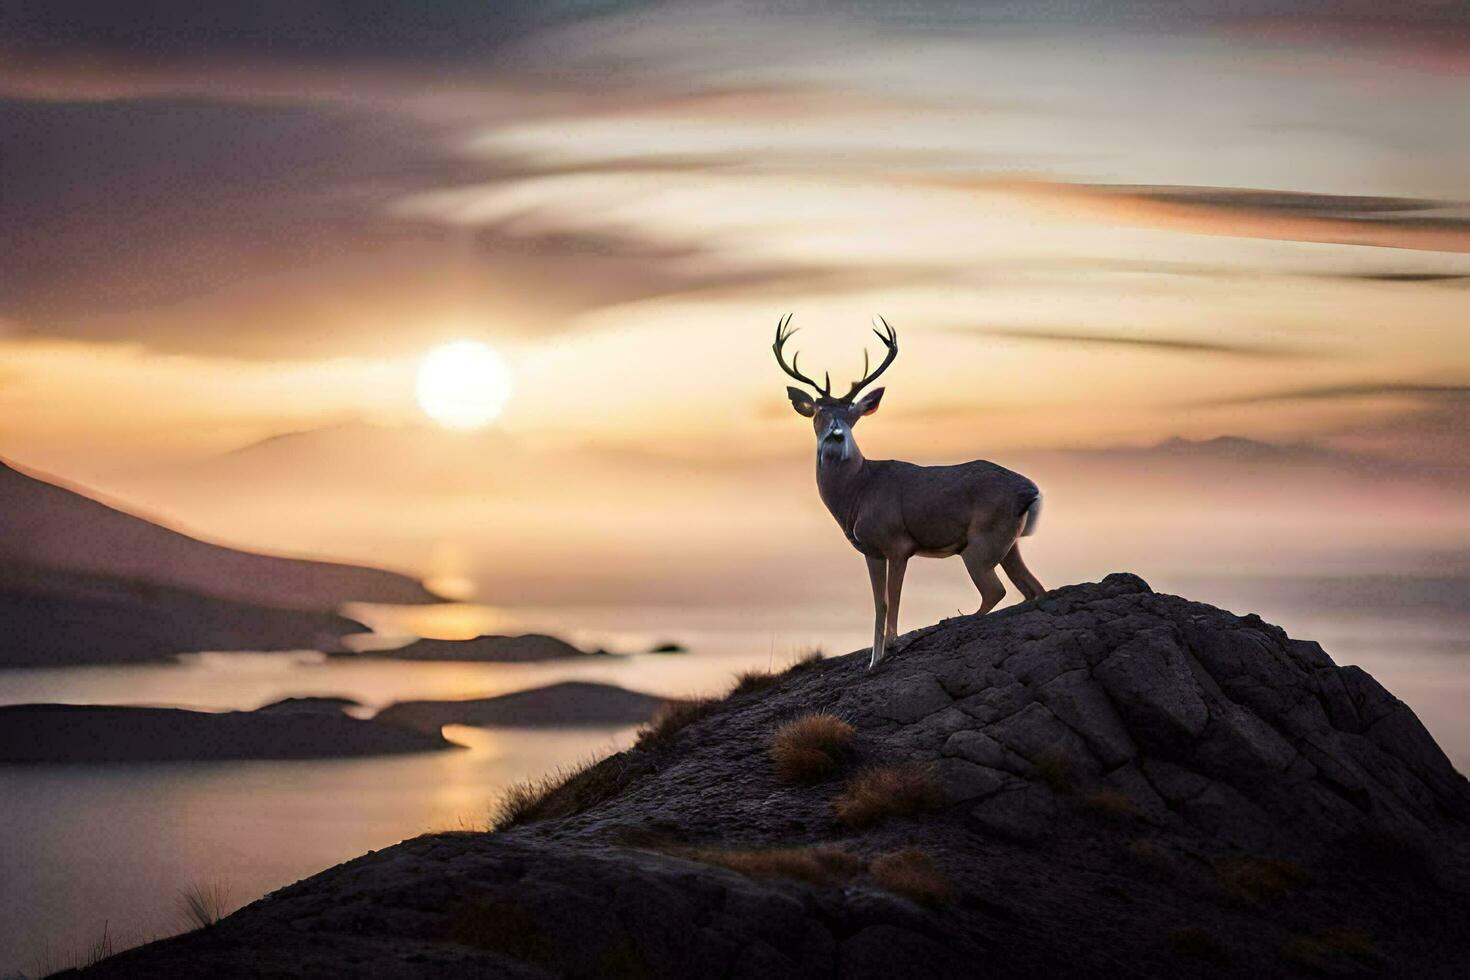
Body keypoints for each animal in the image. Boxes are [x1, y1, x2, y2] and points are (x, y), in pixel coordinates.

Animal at [770, 318, 1046, 669]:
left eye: (853, 415)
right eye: (819, 413)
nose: (836, 436)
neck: (858, 494)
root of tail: (1030, 490)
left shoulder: (894, 543)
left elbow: (889, 600)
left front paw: (883, 654)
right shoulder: (871, 549)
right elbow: (879, 602)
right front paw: (877, 658)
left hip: (981, 543)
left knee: (995, 591)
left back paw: (956, 619)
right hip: (1008, 545)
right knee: (1032, 587)